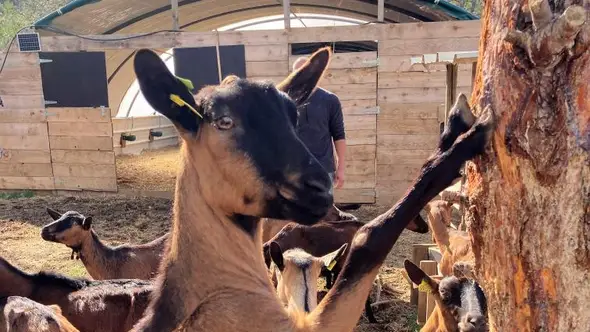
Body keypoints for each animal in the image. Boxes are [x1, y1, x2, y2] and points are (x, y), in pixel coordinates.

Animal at [128, 46, 494, 332]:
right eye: (223, 121)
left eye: (293, 116)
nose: (320, 188)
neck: (208, 293)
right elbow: (370, 237)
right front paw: (466, 139)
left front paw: (456, 122)